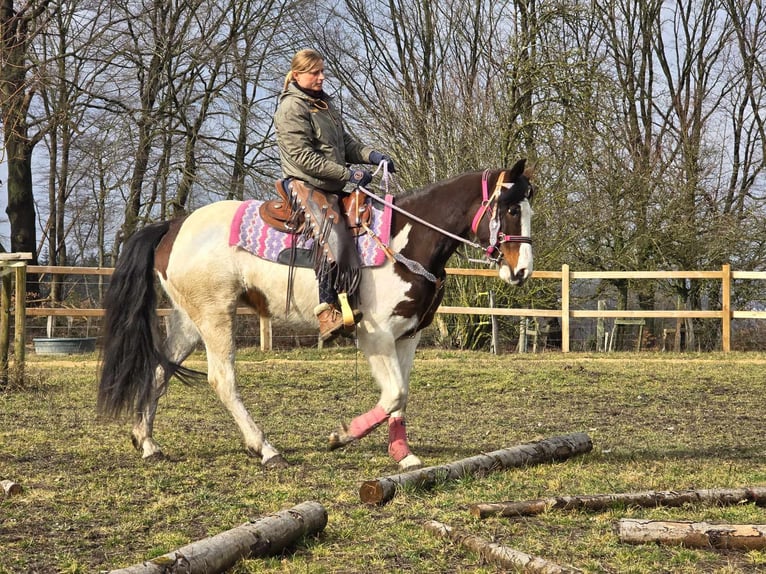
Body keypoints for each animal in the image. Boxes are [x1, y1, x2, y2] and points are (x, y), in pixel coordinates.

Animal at [97, 159, 536, 472]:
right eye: (512, 209)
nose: (522, 271)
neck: (404, 240)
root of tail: (173, 225)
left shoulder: (408, 335)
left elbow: (402, 398)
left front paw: (403, 454)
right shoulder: (376, 335)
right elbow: (394, 393)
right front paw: (342, 435)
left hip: (189, 321)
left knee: (160, 370)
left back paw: (148, 442)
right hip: (215, 316)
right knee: (222, 380)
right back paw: (266, 448)